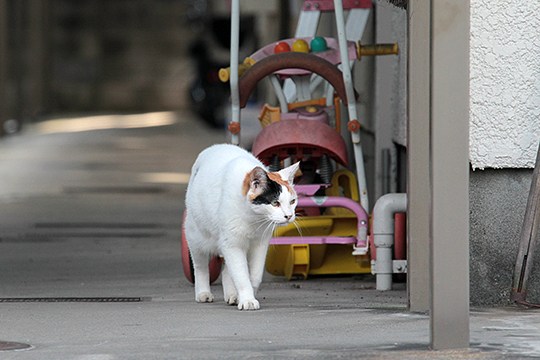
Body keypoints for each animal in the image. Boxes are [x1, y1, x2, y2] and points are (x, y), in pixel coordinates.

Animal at [184, 143, 298, 310]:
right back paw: (203, 293)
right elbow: (241, 276)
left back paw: (231, 295)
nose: (289, 216)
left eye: (292, 201)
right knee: (200, 266)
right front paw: (247, 299)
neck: (254, 219)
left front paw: (244, 296)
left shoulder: (259, 244)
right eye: (275, 203)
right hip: (196, 237)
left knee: (227, 269)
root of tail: (215, 147)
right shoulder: (232, 245)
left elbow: (254, 276)